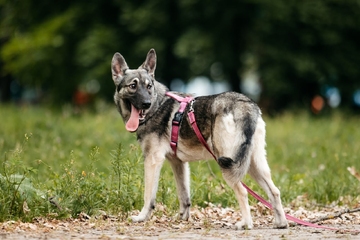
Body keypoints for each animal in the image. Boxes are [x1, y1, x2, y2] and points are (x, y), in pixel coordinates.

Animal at [111, 48, 288, 229]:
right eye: (133, 86)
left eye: (149, 86)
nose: (146, 103)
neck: (157, 105)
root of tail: (244, 104)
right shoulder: (178, 163)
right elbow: (184, 196)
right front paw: (183, 219)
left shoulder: (152, 160)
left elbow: (148, 196)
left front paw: (142, 217)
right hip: (252, 164)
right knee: (274, 191)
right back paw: (281, 223)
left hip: (227, 164)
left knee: (243, 191)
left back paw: (245, 224)